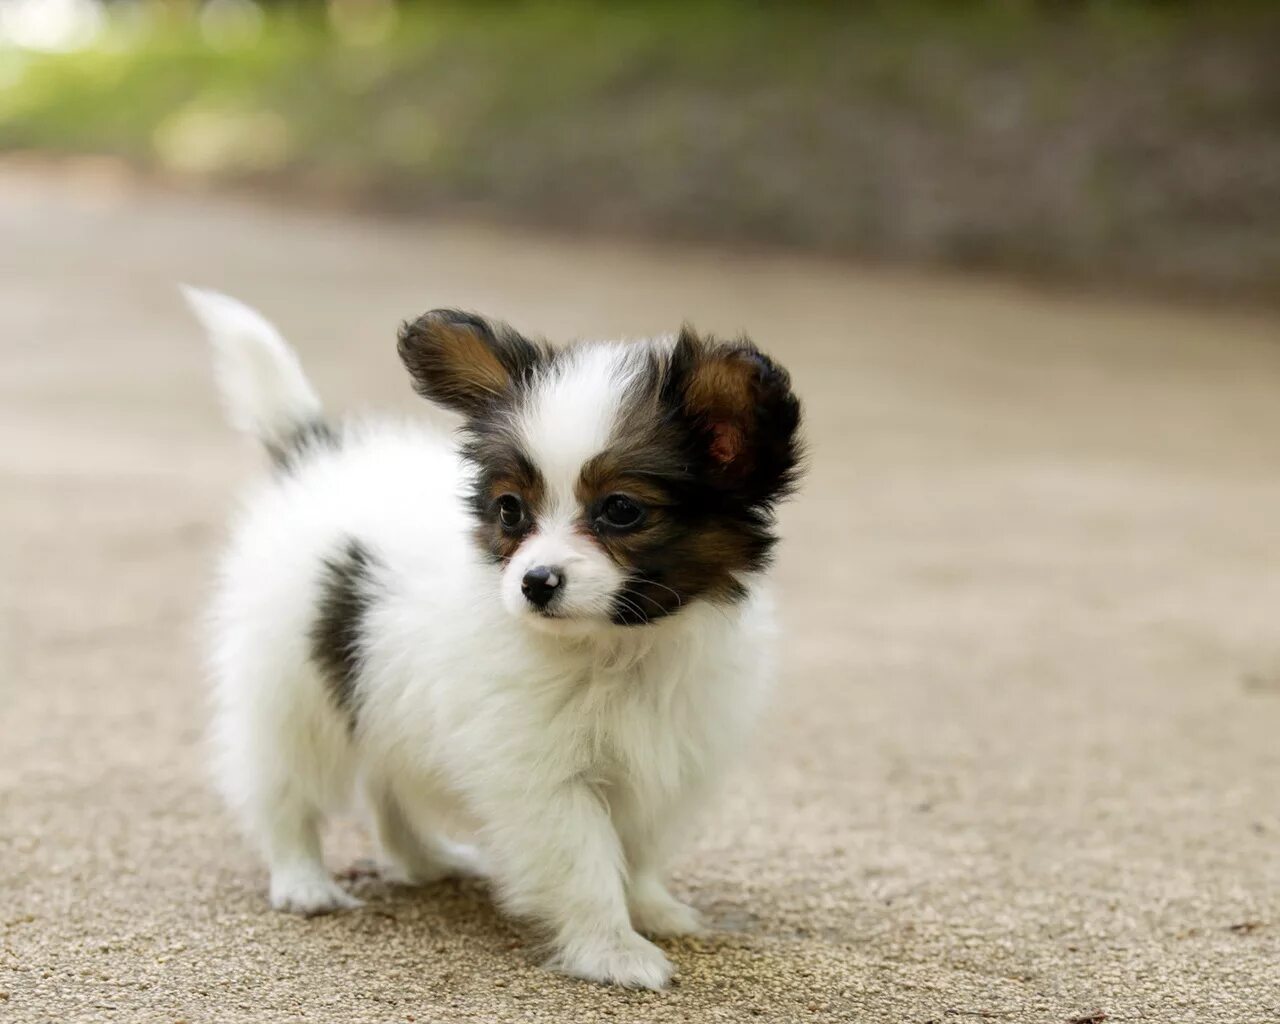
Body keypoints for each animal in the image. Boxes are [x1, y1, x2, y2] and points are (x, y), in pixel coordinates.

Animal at [183, 284, 798, 988]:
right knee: (283, 790)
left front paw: (653, 909)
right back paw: (304, 882)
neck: (615, 648)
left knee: (388, 787)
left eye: (621, 510)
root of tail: (316, 457)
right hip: (292, 691)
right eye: (510, 510)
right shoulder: (540, 778)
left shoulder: (671, 758)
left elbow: (638, 851)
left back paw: (424, 861)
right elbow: (587, 862)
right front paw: (614, 950)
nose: (535, 582)